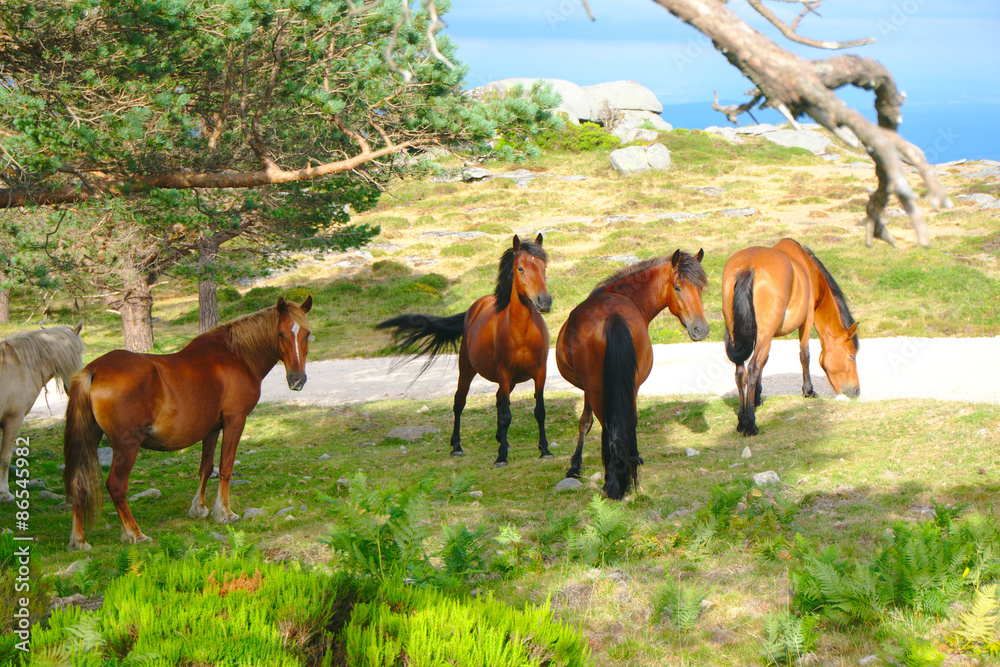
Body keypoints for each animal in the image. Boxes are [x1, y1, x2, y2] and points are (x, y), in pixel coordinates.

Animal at [1, 325, 85, 502]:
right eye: (80, 351)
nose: (72, 389)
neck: (16, 369)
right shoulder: (13, 420)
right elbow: (4, 458)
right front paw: (4, 493)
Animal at [63, 296, 312, 550]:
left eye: (307, 333)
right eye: (281, 334)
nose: (297, 380)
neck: (236, 356)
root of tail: (93, 371)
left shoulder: (212, 429)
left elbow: (206, 467)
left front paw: (199, 509)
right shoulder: (235, 421)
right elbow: (226, 467)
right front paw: (225, 512)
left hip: (89, 438)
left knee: (77, 483)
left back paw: (79, 540)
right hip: (127, 445)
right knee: (116, 485)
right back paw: (135, 533)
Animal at [376, 234, 552, 467]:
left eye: (543, 266)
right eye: (521, 268)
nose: (544, 301)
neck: (522, 332)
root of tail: (473, 309)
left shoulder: (540, 372)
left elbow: (539, 411)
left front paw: (545, 450)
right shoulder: (505, 373)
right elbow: (506, 415)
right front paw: (501, 457)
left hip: (510, 380)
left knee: (498, 399)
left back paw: (502, 440)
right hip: (467, 369)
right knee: (459, 402)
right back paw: (457, 447)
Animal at [555, 249, 709, 500]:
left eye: (701, 288)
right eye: (677, 287)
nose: (701, 329)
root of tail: (613, 316)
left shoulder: (588, 389)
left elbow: (585, 421)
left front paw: (575, 466)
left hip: (598, 388)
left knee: (608, 426)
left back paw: (613, 481)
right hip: (630, 385)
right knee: (627, 422)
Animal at [722, 238, 859, 436]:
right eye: (852, 356)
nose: (856, 391)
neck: (810, 271)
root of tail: (748, 267)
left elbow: (764, 362)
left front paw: (756, 398)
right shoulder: (807, 320)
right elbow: (805, 355)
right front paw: (808, 390)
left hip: (738, 334)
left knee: (741, 372)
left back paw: (742, 420)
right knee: (752, 368)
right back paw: (750, 423)